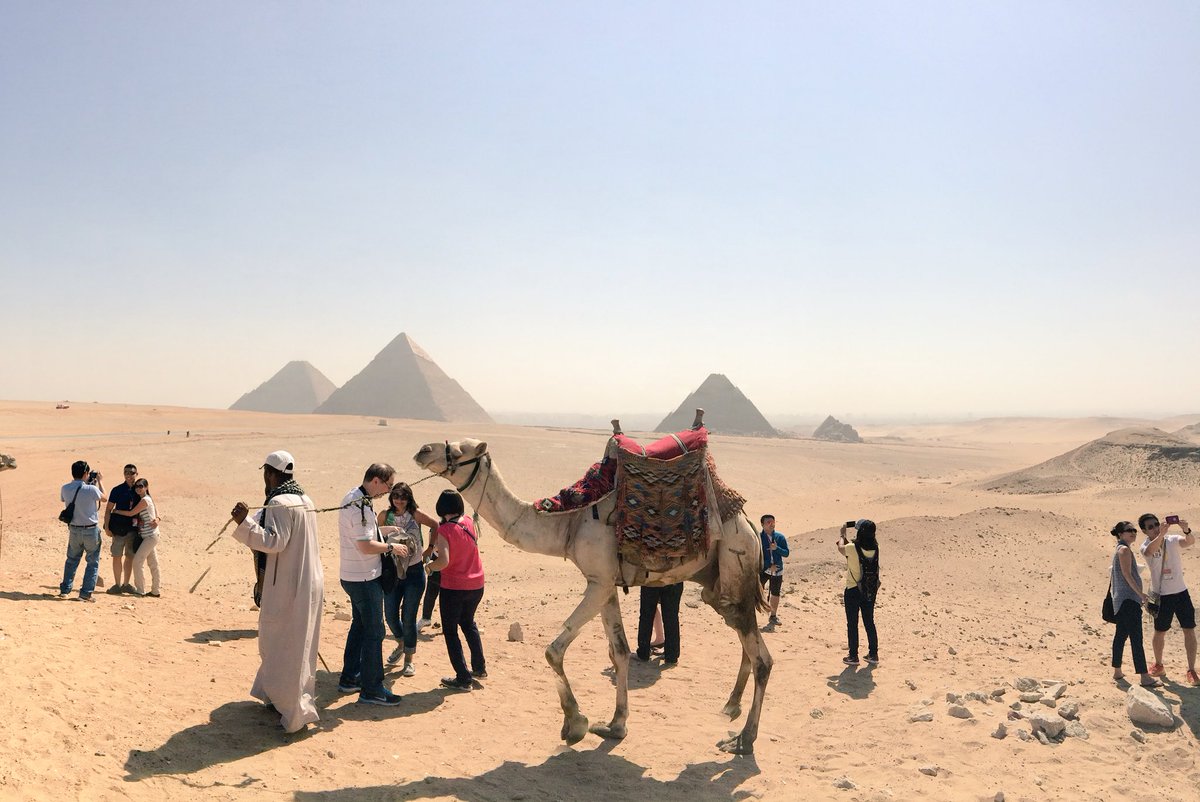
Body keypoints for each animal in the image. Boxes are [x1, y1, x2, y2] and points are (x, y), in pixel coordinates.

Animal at [412, 422, 768, 753]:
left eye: (460, 451)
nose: (422, 450)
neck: (569, 521)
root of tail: (749, 525)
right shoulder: (606, 583)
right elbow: (619, 652)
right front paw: (615, 725)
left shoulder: (598, 582)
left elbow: (553, 650)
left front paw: (575, 723)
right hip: (718, 586)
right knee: (745, 641)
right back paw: (730, 707)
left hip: (735, 558)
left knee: (761, 658)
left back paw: (743, 739)